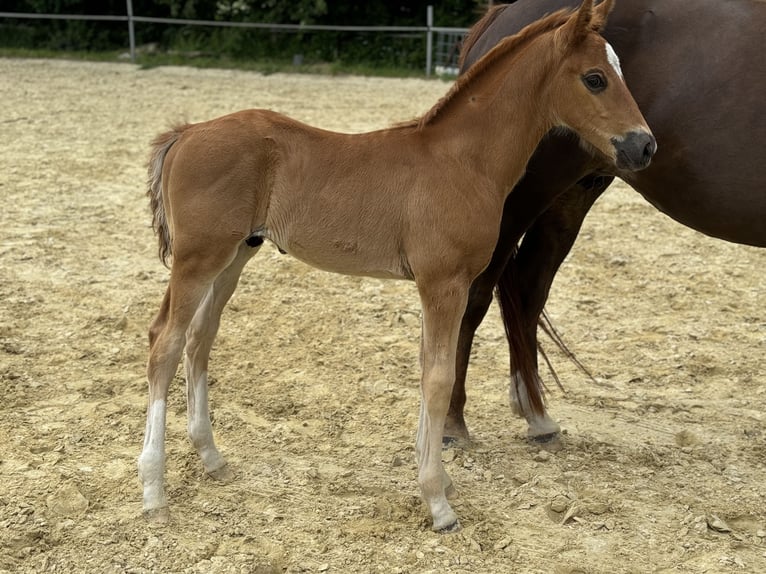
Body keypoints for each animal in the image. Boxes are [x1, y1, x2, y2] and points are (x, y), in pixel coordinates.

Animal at [140, 0, 656, 532]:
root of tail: (186, 134)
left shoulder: (438, 286)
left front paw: (439, 481)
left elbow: (430, 368)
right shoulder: (443, 283)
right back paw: (154, 490)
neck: (462, 161)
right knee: (165, 344)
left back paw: (211, 457)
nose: (644, 146)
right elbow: (439, 378)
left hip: (234, 256)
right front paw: (438, 503)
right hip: (198, 259)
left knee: (199, 340)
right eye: (595, 78)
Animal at [448, 0, 764, 446]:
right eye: (596, 79)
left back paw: (537, 416)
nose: (645, 145)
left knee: (527, 290)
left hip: (572, 193)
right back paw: (452, 423)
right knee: (476, 295)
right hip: (519, 201)